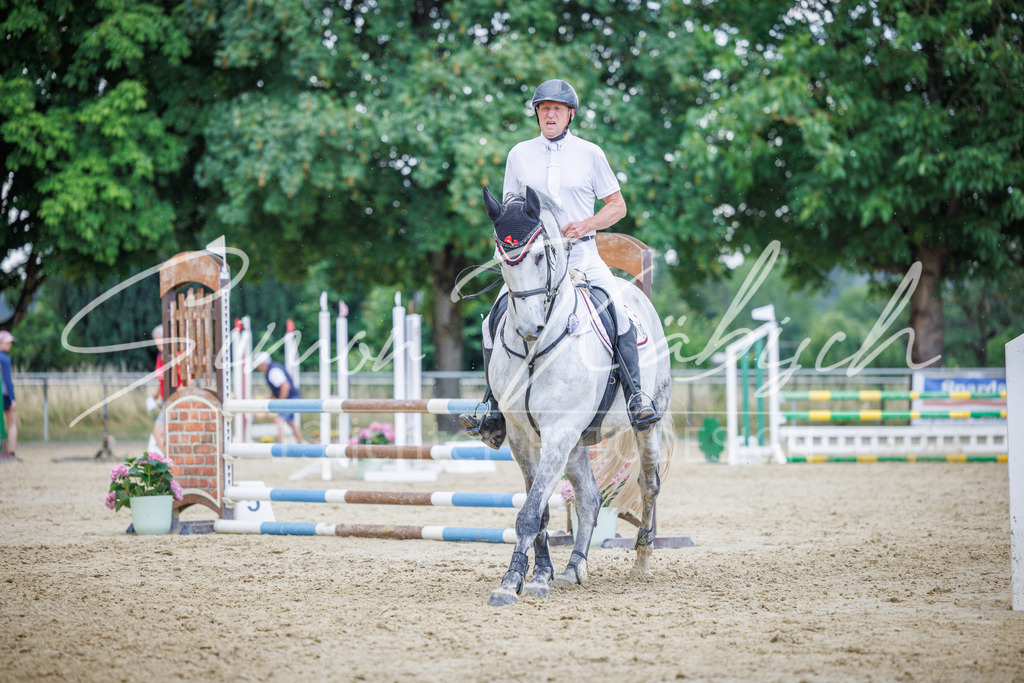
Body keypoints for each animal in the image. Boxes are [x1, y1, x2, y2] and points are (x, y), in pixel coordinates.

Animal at [481, 185, 674, 607]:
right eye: (502, 259)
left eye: (541, 256)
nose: (529, 327)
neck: (536, 350)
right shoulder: (522, 436)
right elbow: (539, 511)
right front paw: (532, 575)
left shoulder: (559, 430)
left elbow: (530, 511)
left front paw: (511, 584)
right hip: (577, 443)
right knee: (589, 497)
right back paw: (574, 568)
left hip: (642, 427)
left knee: (649, 485)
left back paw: (642, 561)